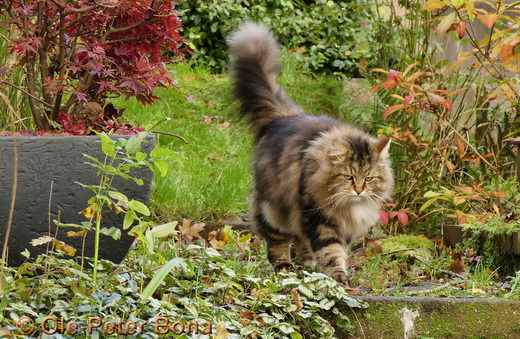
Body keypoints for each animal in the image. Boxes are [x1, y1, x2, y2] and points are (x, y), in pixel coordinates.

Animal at [228, 21, 394, 284]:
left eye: (368, 178)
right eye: (348, 177)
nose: (359, 190)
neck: (348, 206)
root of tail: (286, 115)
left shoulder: (342, 225)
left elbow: (337, 248)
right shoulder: (319, 217)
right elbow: (331, 249)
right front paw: (338, 276)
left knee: (299, 240)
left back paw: (306, 264)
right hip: (274, 208)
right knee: (277, 240)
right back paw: (284, 266)